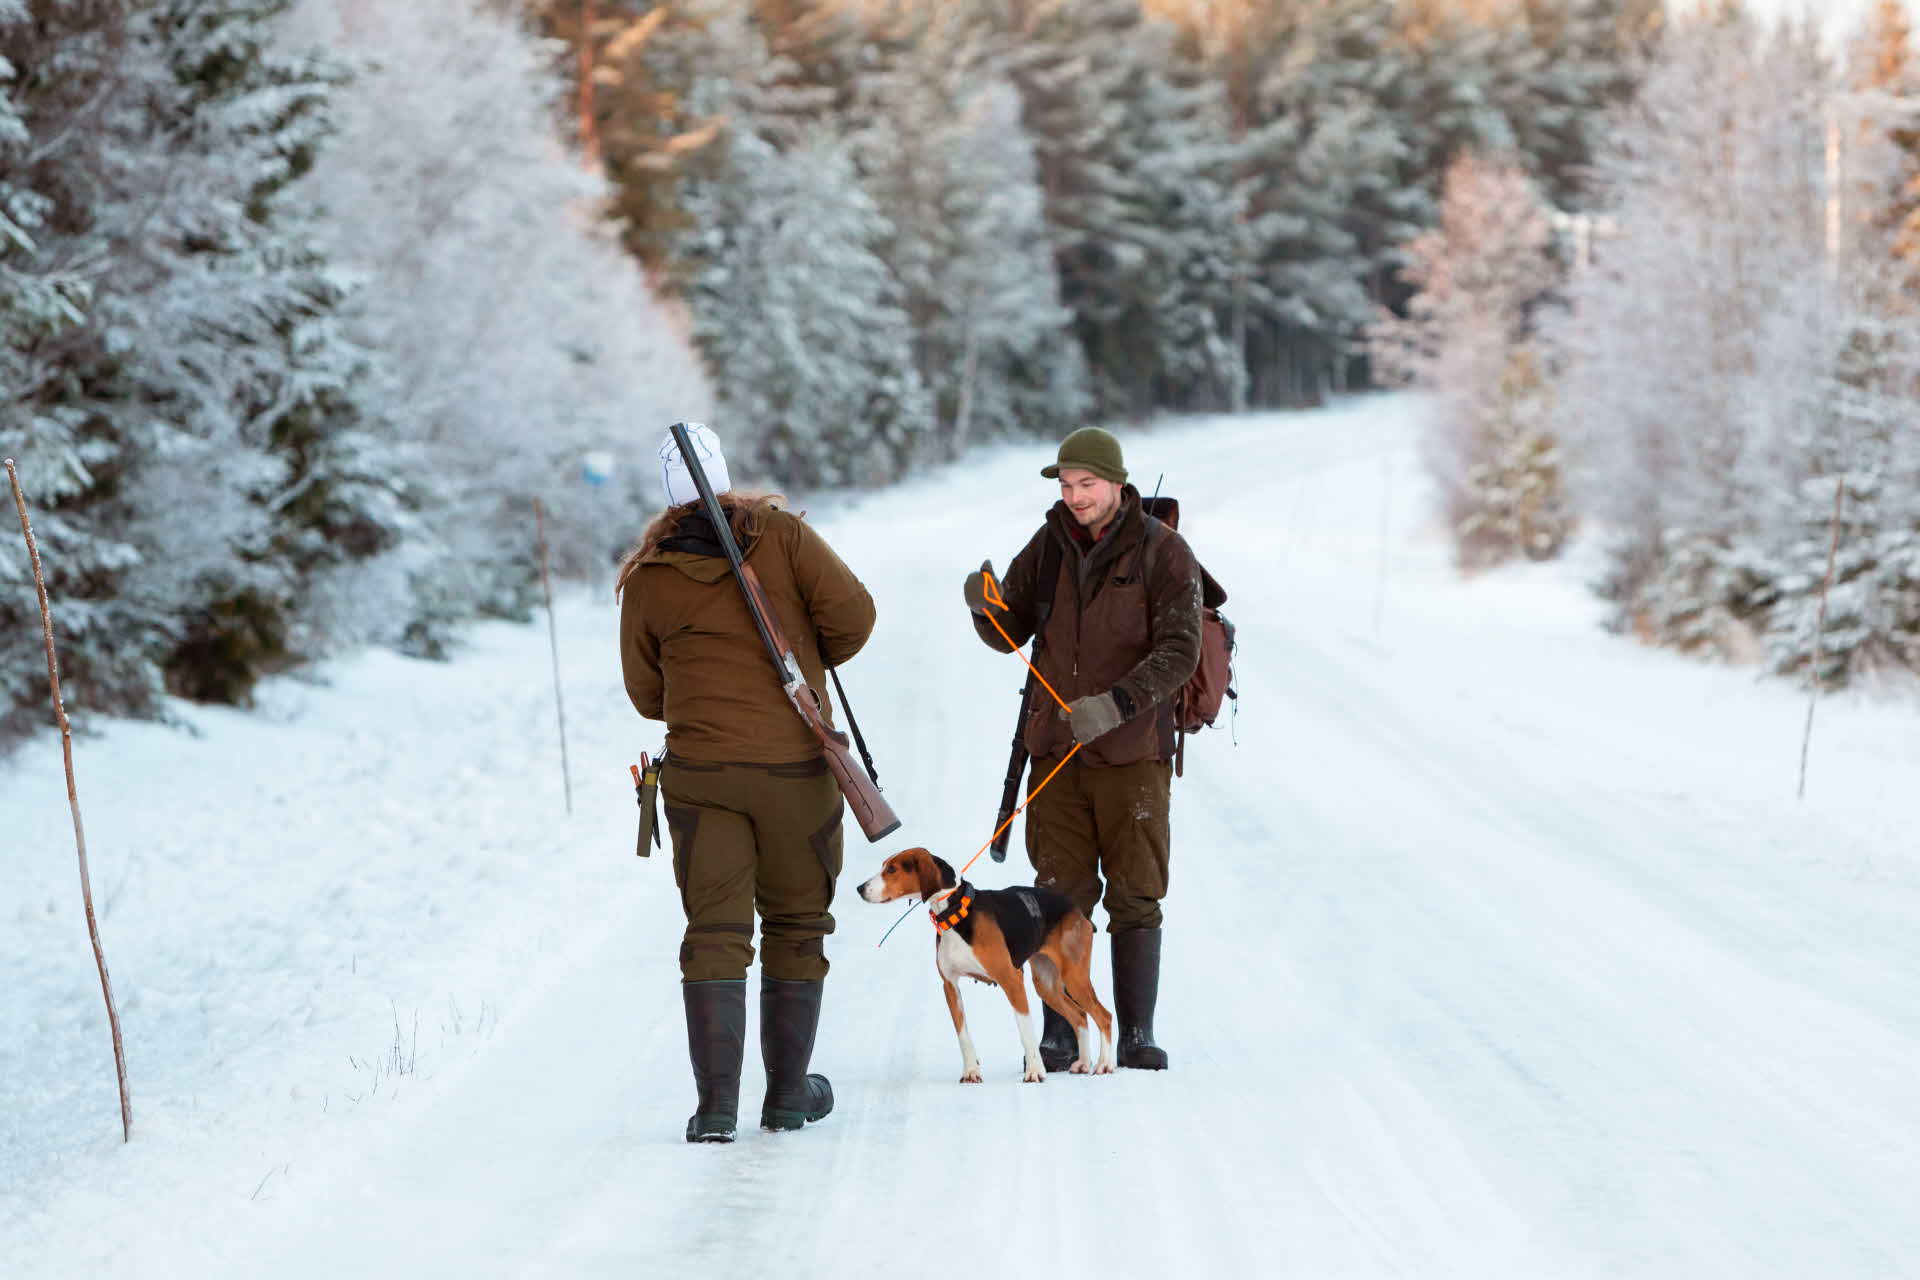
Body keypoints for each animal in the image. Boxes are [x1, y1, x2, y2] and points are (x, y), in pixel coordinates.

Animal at [864, 852, 1121, 1082]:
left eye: (892, 869)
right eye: (885, 866)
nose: (859, 888)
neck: (956, 913)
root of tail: (1075, 909)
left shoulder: (1012, 979)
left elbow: (1026, 1031)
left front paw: (1034, 1073)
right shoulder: (950, 986)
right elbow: (963, 1035)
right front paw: (971, 1072)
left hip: (1074, 977)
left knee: (1103, 1016)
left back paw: (1104, 1064)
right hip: (1046, 985)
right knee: (1080, 1016)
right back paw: (1083, 1063)